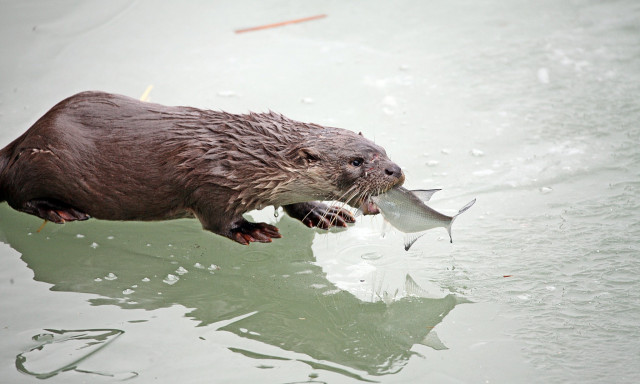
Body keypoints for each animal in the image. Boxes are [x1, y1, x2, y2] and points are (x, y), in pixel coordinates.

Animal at [0, 91, 404, 244]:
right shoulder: (213, 187)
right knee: (16, 195)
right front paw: (252, 230)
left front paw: (322, 212)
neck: (248, 159)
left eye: (383, 150)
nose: (396, 171)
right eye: (356, 162)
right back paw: (59, 211)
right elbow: (217, 221)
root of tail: (23, 138)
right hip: (36, 161)